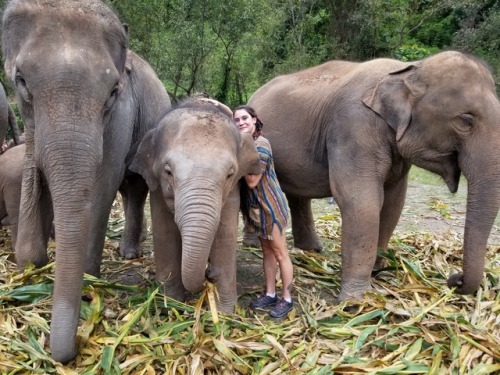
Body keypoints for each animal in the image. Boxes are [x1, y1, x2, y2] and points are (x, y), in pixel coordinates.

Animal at [1, 0, 171, 364]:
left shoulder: (122, 113)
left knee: (136, 187)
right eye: (21, 81)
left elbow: (103, 181)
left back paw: (128, 254)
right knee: (129, 190)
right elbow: (33, 170)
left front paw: (90, 277)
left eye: (113, 92)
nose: (66, 353)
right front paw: (31, 264)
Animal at [129, 98, 262, 312]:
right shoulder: (157, 186)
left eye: (230, 174)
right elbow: (165, 232)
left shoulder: (233, 189)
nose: (211, 274)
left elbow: (225, 234)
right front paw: (171, 305)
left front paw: (225, 312)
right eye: (168, 171)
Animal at [249, 50, 500, 302]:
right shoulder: (353, 128)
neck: (408, 70)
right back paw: (254, 244)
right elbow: (361, 201)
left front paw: (378, 269)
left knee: (297, 196)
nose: (454, 279)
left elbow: (393, 202)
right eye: (466, 120)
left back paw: (312, 249)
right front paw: (354, 300)